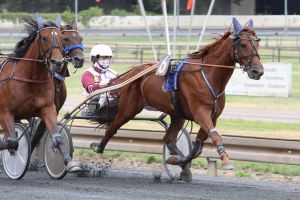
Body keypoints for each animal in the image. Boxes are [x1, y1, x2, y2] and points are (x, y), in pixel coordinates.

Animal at [90, 18, 264, 182]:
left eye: (257, 43)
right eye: (243, 44)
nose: (258, 71)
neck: (207, 75)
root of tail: (134, 71)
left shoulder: (213, 116)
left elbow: (197, 148)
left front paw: (178, 163)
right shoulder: (201, 112)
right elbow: (215, 136)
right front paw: (225, 159)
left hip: (177, 114)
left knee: (169, 139)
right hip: (129, 108)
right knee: (112, 127)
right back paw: (97, 146)